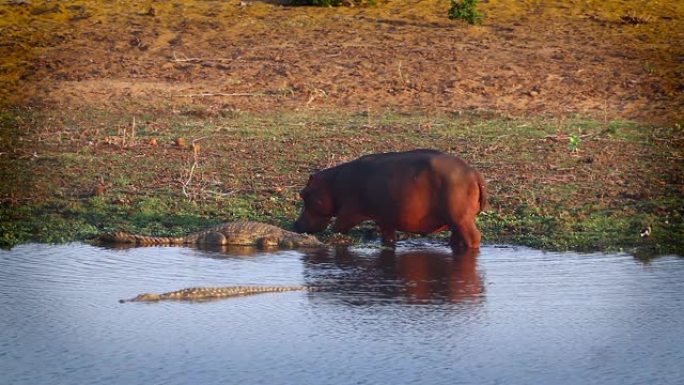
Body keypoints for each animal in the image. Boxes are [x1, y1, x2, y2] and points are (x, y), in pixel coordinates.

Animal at [294, 148, 486, 248]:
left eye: (303, 194)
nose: (295, 225)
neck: (331, 184)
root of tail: (474, 173)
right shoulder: (385, 218)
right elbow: (388, 236)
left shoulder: (349, 212)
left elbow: (338, 227)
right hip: (456, 221)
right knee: (458, 237)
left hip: (460, 218)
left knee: (473, 237)